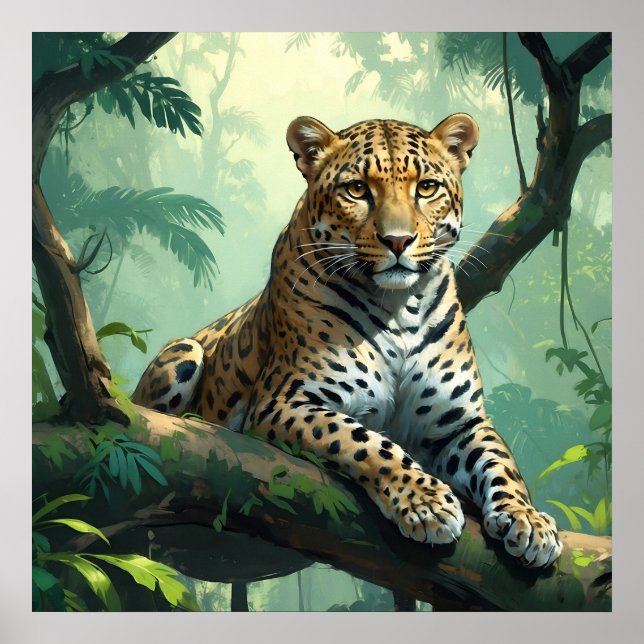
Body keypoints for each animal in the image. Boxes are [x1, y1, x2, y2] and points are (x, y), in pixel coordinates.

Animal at [132, 113, 563, 568]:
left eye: (427, 187)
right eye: (357, 189)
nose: (397, 240)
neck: (399, 307)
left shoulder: (459, 422)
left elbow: (501, 462)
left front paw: (528, 519)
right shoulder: (284, 401)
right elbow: (366, 442)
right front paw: (425, 503)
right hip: (185, 350)